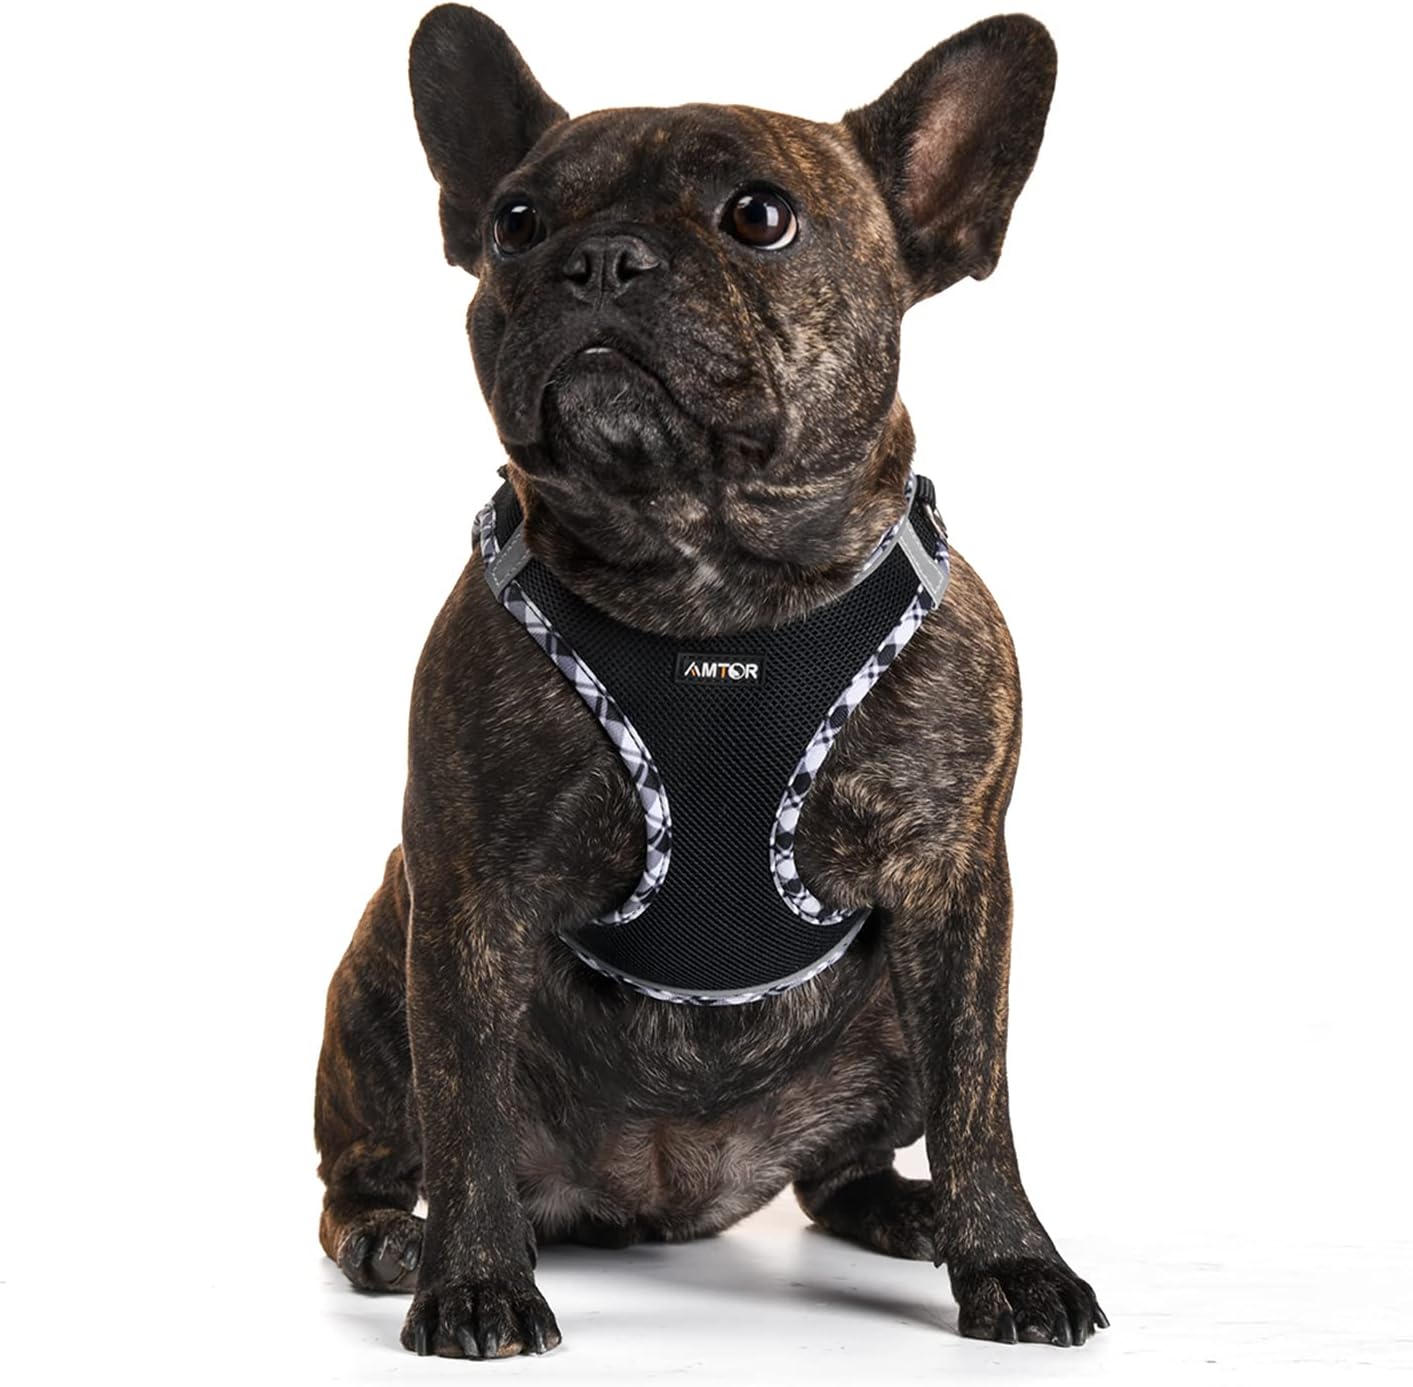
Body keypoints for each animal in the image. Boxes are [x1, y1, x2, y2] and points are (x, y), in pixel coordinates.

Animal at [314, 3, 1104, 1359]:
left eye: (759, 216)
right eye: (515, 222)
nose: (600, 260)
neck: (707, 575)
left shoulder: (956, 887)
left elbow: (981, 1097)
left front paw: (1009, 1256)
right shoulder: (467, 890)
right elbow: (465, 1107)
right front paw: (475, 1284)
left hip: (886, 1022)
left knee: (851, 1164)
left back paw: (913, 1210)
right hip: (376, 964)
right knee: (368, 1161)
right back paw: (395, 1235)